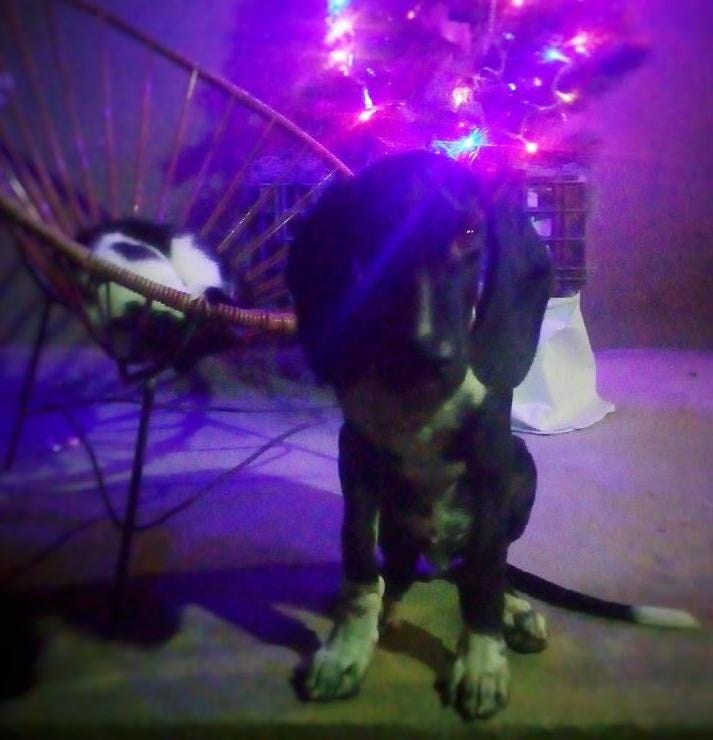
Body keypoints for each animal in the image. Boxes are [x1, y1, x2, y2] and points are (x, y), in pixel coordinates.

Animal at [286, 152, 700, 724]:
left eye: (468, 233)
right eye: (376, 233)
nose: (429, 357)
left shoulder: (491, 461)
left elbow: (485, 570)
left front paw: (482, 660)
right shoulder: (357, 454)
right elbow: (359, 558)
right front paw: (347, 649)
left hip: (522, 470)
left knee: (486, 565)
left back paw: (514, 611)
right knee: (401, 567)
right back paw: (393, 604)